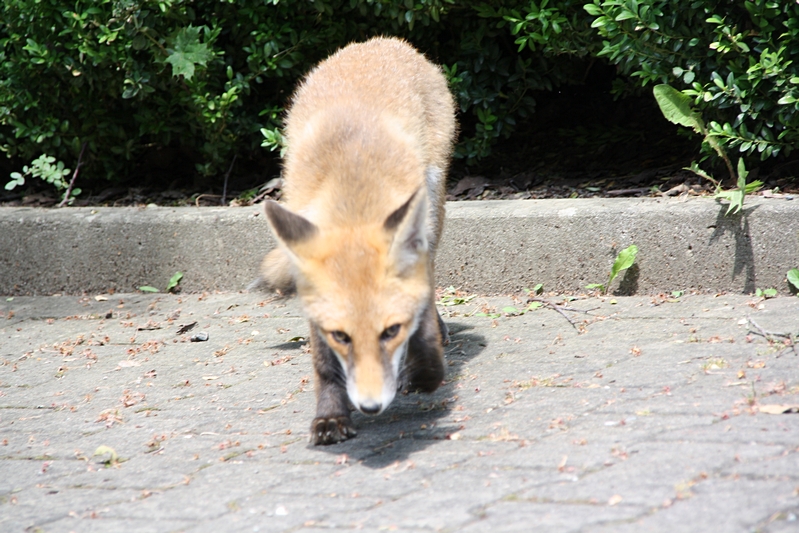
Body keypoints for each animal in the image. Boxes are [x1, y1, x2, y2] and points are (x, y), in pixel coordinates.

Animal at [259, 37, 457, 445]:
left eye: (390, 331)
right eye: (342, 336)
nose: (370, 405)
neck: (353, 199)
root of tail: (380, 41)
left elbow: (422, 316)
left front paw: (426, 372)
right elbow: (323, 363)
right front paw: (331, 416)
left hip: (433, 203)